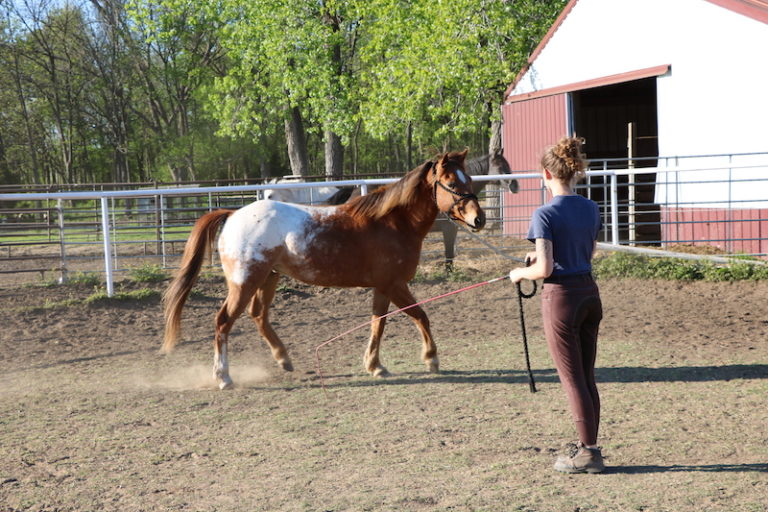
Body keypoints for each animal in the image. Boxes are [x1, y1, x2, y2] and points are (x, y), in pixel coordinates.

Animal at [163, 149, 486, 389]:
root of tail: (232, 215)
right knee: (223, 322)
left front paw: (375, 365)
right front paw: (431, 358)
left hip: (268, 278)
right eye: (451, 183)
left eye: (468, 178)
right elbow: (420, 315)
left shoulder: (383, 287)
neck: (392, 223)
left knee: (258, 316)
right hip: (245, 282)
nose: (478, 219)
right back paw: (224, 377)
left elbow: (378, 323)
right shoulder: (395, 284)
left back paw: (283, 359)